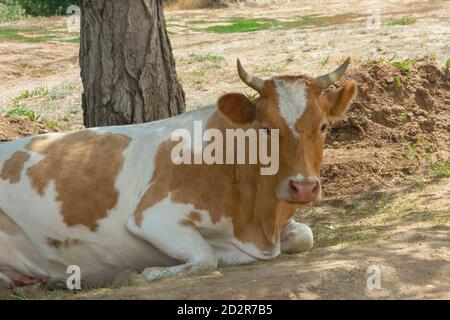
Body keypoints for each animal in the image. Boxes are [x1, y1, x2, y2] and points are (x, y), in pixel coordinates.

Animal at [0, 58, 358, 288]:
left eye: (324, 126)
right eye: (267, 128)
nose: (304, 187)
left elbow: (304, 235)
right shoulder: (153, 216)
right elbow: (205, 258)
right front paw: (139, 274)